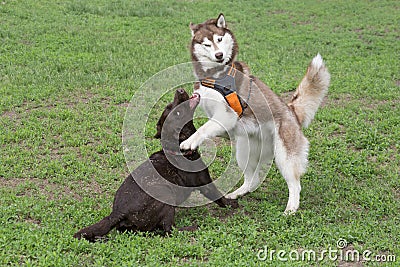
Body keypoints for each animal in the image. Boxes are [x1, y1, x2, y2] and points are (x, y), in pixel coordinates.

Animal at [74, 88, 238, 243]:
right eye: (176, 111)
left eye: (170, 105)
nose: (179, 90)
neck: (178, 149)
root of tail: (118, 213)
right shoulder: (205, 183)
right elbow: (219, 197)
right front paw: (232, 203)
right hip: (166, 197)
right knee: (169, 230)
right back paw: (191, 228)